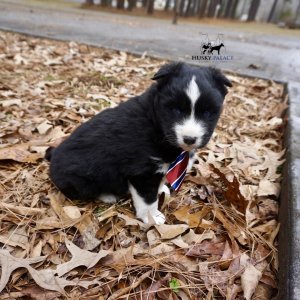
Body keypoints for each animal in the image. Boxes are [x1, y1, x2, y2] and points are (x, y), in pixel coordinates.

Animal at [46, 62, 232, 224]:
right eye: (175, 110)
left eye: (207, 112)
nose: (189, 139)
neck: (156, 124)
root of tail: (53, 154)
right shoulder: (142, 172)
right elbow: (148, 200)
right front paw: (152, 217)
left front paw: (161, 190)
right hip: (83, 181)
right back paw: (108, 195)